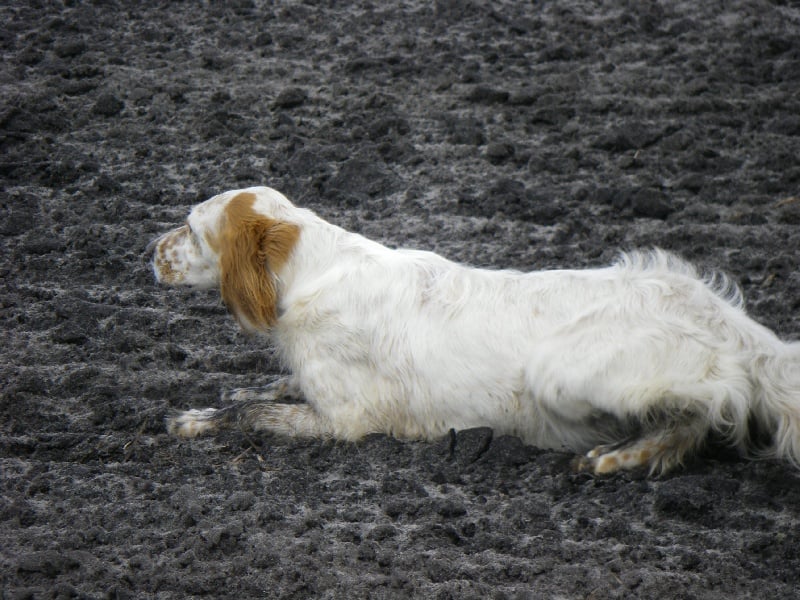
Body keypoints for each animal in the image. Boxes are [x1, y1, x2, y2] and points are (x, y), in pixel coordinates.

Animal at [152, 186, 800, 474]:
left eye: (189, 229)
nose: (148, 251)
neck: (310, 272)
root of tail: (730, 323)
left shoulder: (346, 421)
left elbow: (250, 413)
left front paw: (193, 422)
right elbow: (265, 390)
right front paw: (228, 395)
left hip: (558, 372)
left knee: (698, 416)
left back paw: (619, 455)